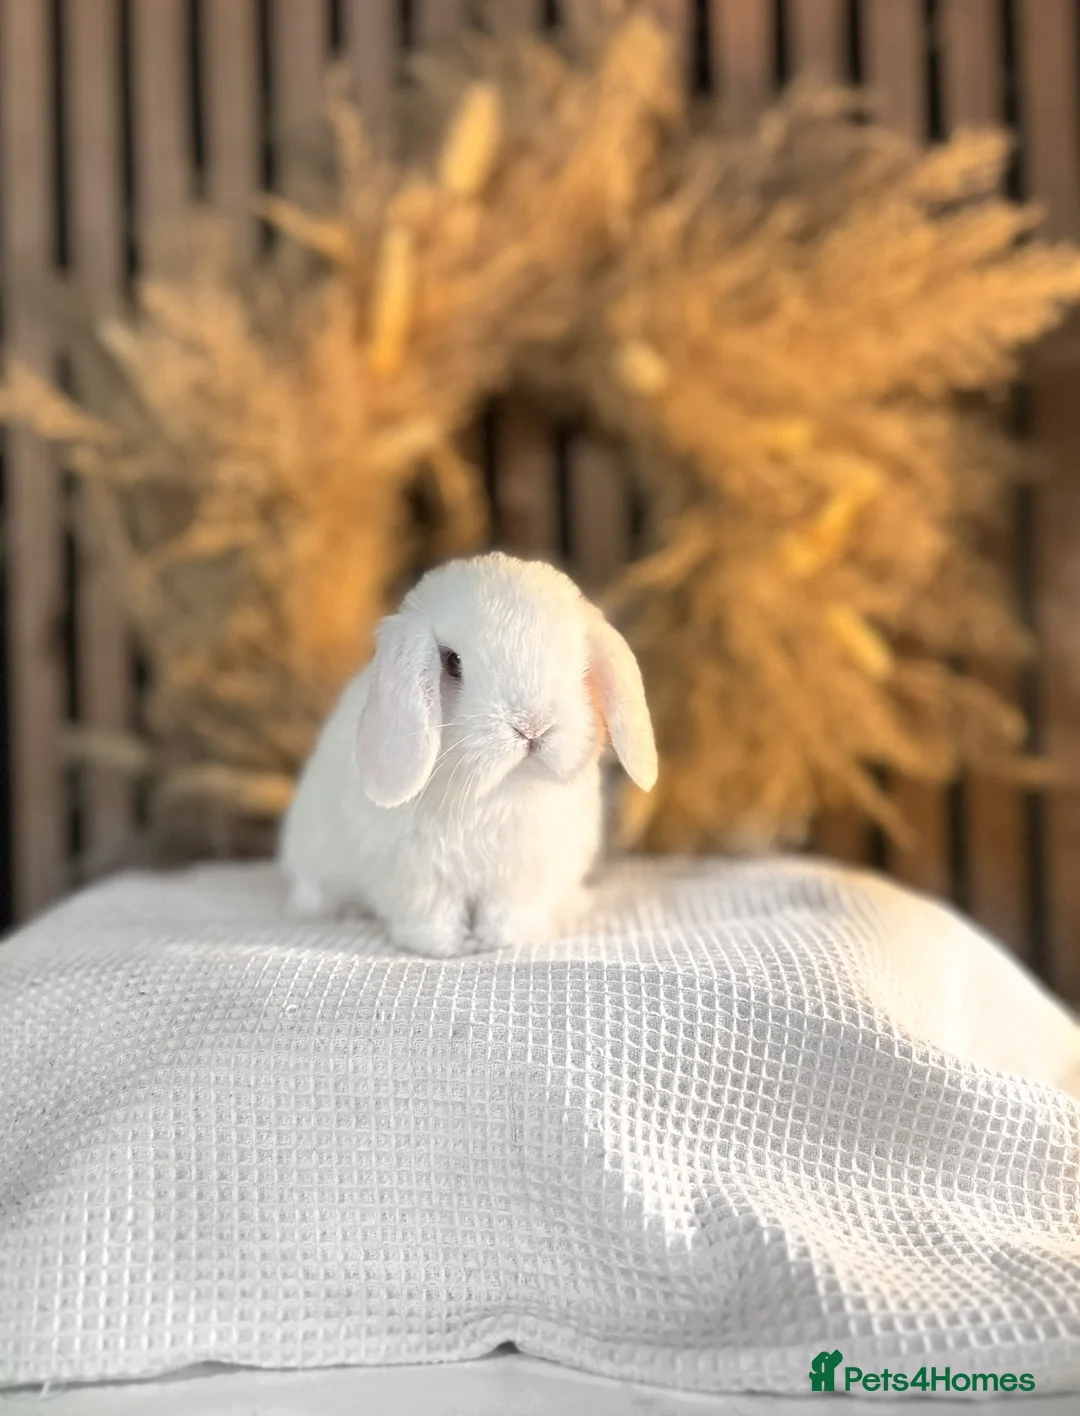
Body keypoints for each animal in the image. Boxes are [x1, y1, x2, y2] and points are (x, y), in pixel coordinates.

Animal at [278, 551, 657, 957]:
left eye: (581, 664)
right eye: (452, 662)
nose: (532, 726)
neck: (495, 791)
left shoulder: (521, 874)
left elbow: (508, 912)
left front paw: (504, 941)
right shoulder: (416, 876)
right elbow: (431, 914)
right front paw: (444, 947)